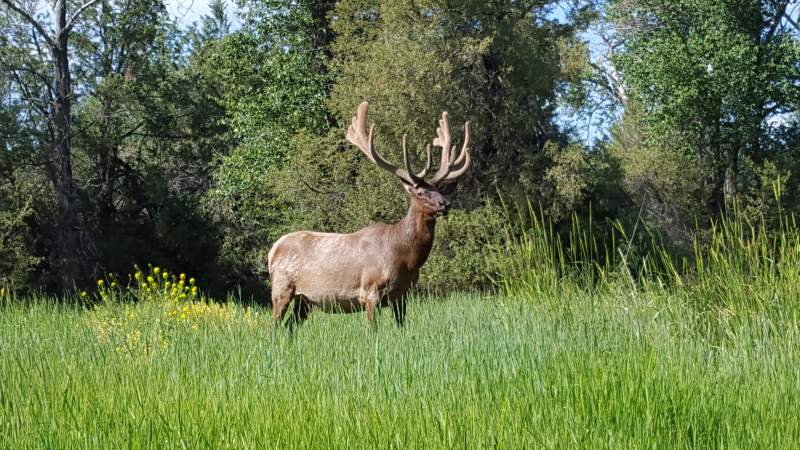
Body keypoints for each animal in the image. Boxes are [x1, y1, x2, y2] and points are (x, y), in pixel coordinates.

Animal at [268, 101, 468, 326]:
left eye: (440, 190)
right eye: (420, 192)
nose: (445, 203)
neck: (406, 258)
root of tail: (272, 250)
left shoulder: (403, 295)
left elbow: (401, 326)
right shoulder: (371, 290)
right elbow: (374, 329)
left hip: (305, 299)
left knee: (290, 326)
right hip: (282, 287)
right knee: (274, 325)